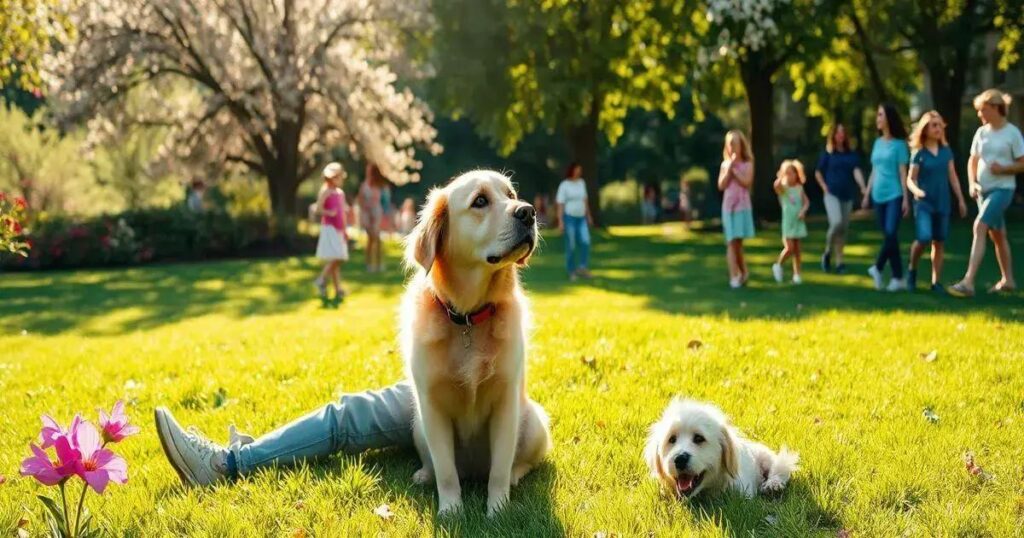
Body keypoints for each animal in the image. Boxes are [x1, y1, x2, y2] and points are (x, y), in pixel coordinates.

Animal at [403, 170, 557, 514]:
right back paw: (423, 474)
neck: (469, 318)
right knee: (436, 465)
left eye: (511, 194)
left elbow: (499, 468)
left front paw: (497, 511)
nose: (528, 212)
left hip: (534, 422)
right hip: (418, 424)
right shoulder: (431, 405)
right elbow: (446, 471)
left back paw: (514, 475)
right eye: (480, 201)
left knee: (520, 463)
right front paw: (451, 511)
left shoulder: (505, 402)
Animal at [638, 397, 798, 500]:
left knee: (780, 469)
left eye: (699, 438)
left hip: (767, 457)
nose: (680, 459)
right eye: (671, 439)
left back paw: (773, 484)